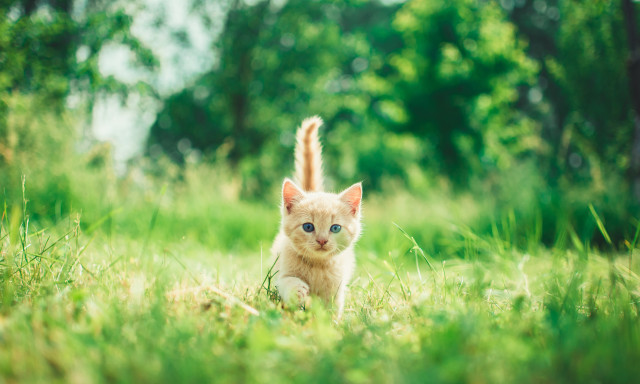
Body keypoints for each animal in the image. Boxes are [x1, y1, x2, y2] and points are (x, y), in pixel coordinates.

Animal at [270, 117, 362, 318]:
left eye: (335, 228)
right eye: (308, 227)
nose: (322, 240)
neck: (317, 266)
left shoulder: (336, 289)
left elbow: (332, 310)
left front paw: (331, 323)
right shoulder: (281, 273)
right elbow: (286, 281)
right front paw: (297, 290)